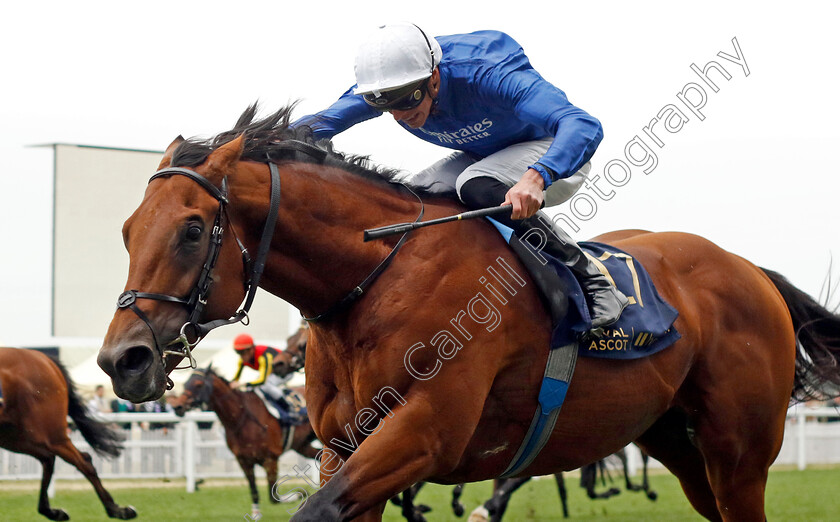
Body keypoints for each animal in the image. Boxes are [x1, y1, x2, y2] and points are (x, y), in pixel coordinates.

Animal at [0, 346, 136, 516]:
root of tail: (45, 359)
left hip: (49, 434)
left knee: (81, 460)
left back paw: (116, 509)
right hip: (15, 436)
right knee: (48, 458)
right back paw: (51, 511)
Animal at [171, 364, 318, 516]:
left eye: (198, 384)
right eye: (186, 383)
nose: (177, 407)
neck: (241, 420)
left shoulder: (270, 459)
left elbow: (274, 497)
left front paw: (301, 494)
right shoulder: (244, 461)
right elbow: (254, 492)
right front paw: (256, 515)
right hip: (302, 446)